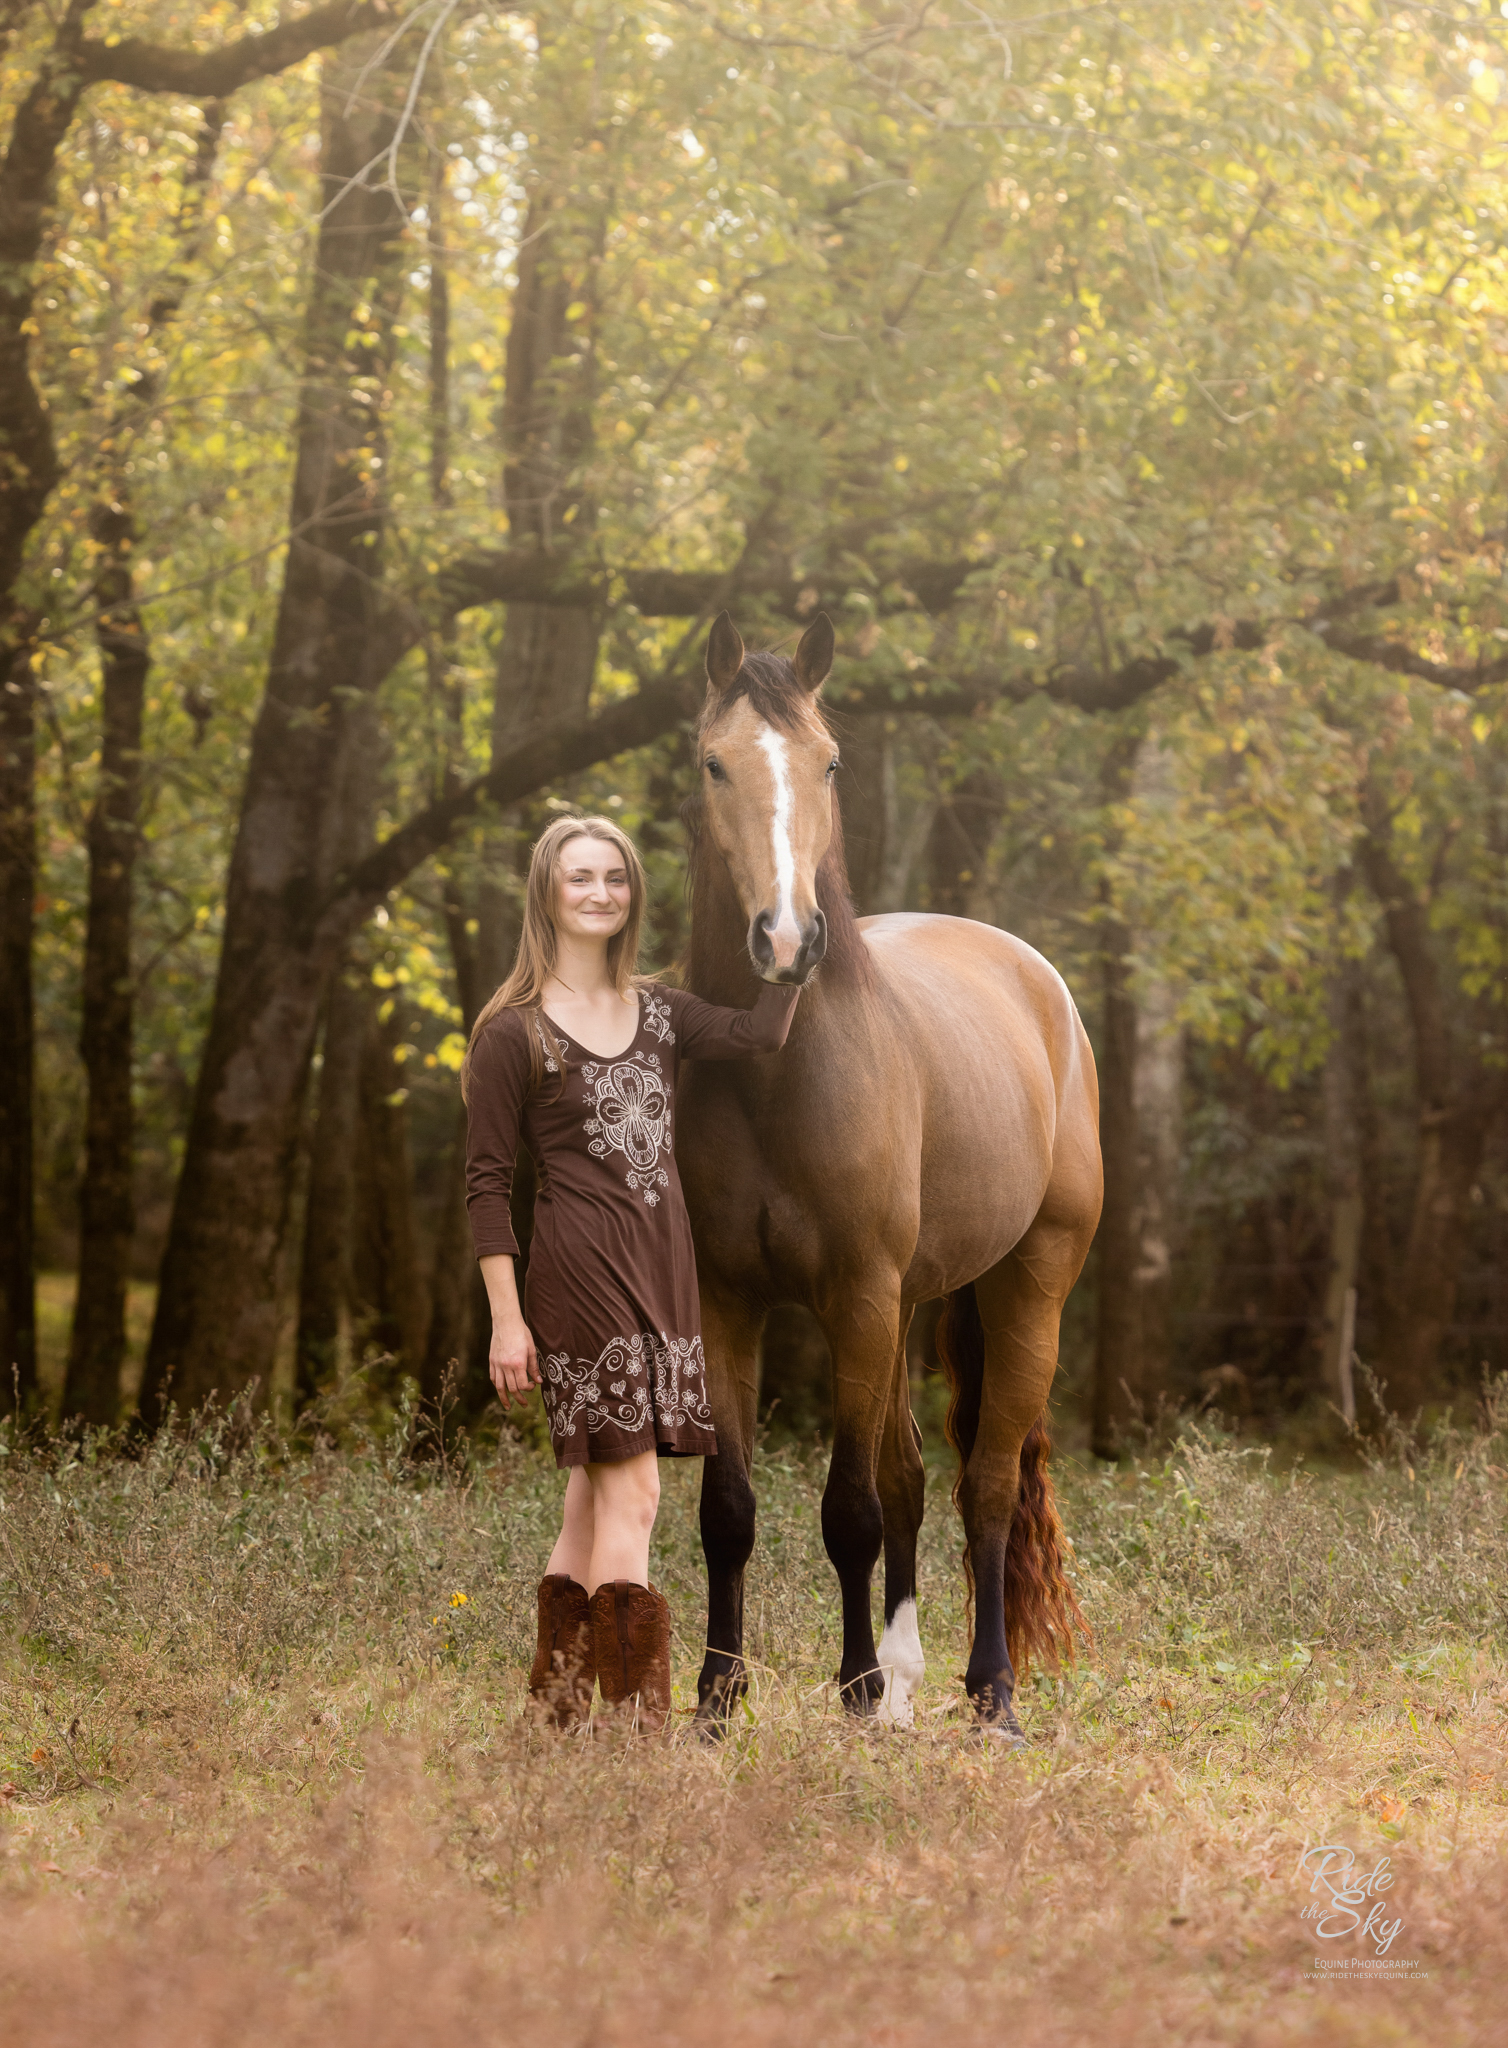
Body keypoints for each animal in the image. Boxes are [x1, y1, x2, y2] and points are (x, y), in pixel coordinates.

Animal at [676, 610, 1098, 1744]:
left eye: (827, 760)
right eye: (712, 762)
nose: (785, 937)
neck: (779, 1066)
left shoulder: (856, 1297)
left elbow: (849, 1510)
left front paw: (857, 1686)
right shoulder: (726, 1300)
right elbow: (729, 1509)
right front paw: (716, 1700)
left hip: (1026, 1288)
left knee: (982, 1485)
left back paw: (988, 1692)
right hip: (912, 1302)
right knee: (913, 1477)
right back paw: (911, 1686)